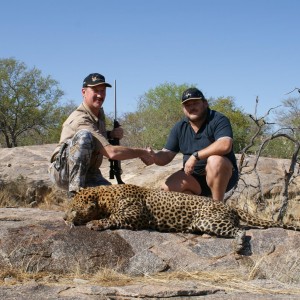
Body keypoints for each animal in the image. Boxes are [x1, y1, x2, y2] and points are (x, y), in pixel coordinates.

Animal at [63, 184, 300, 252]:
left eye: (73, 209)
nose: (64, 218)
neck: (105, 196)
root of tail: (228, 204)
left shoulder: (135, 216)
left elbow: (114, 217)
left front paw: (95, 223)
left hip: (210, 220)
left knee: (241, 230)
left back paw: (239, 245)